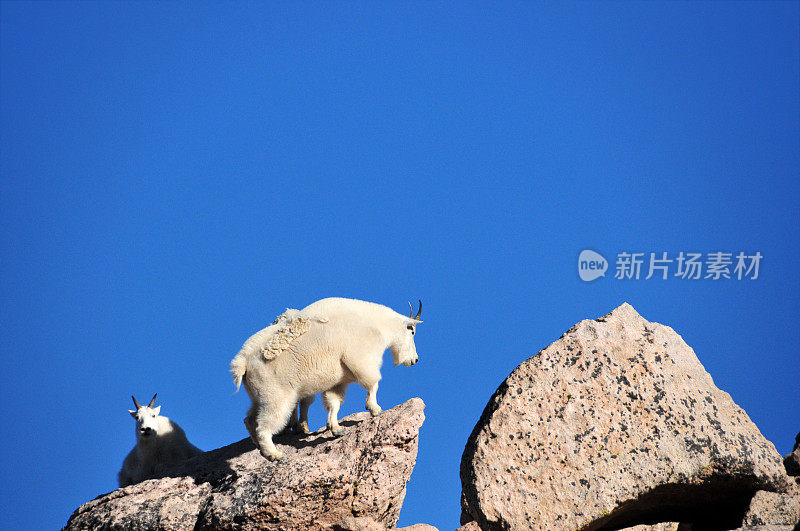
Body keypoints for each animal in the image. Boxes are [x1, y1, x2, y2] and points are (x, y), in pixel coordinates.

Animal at [228, 298, 422, 460]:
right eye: (412, 331)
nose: (414, 360)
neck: (377, 325)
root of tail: (242, 363)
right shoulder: (361, 360)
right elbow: (373, 383)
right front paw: (375, 409)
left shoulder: (338, 381)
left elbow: (334, 402)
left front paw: (335, 428)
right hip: (277, 396)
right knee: (264, 425)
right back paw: (274, 454)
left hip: (260, 396)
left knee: (250, 419)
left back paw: (261, 447)